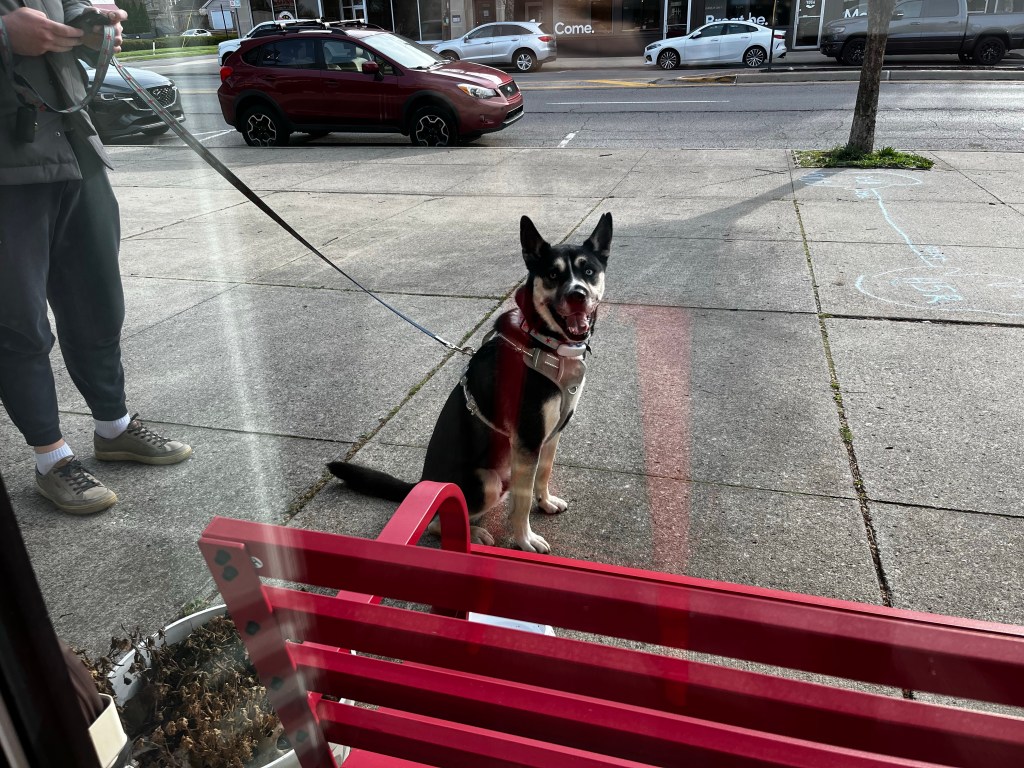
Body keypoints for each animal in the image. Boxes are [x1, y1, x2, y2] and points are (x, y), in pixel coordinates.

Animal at [328, 213, 612, 553]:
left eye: (588, 271)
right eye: (553, 275)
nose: (577, 295)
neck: (543, 342)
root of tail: (422, 483)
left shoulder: (550, 434)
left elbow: (543, 473)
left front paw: (544, 502)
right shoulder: (527, 440)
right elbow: (521, 502)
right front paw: (524, 539)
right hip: (488, 481)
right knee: (438, 521)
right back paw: (472, 533)